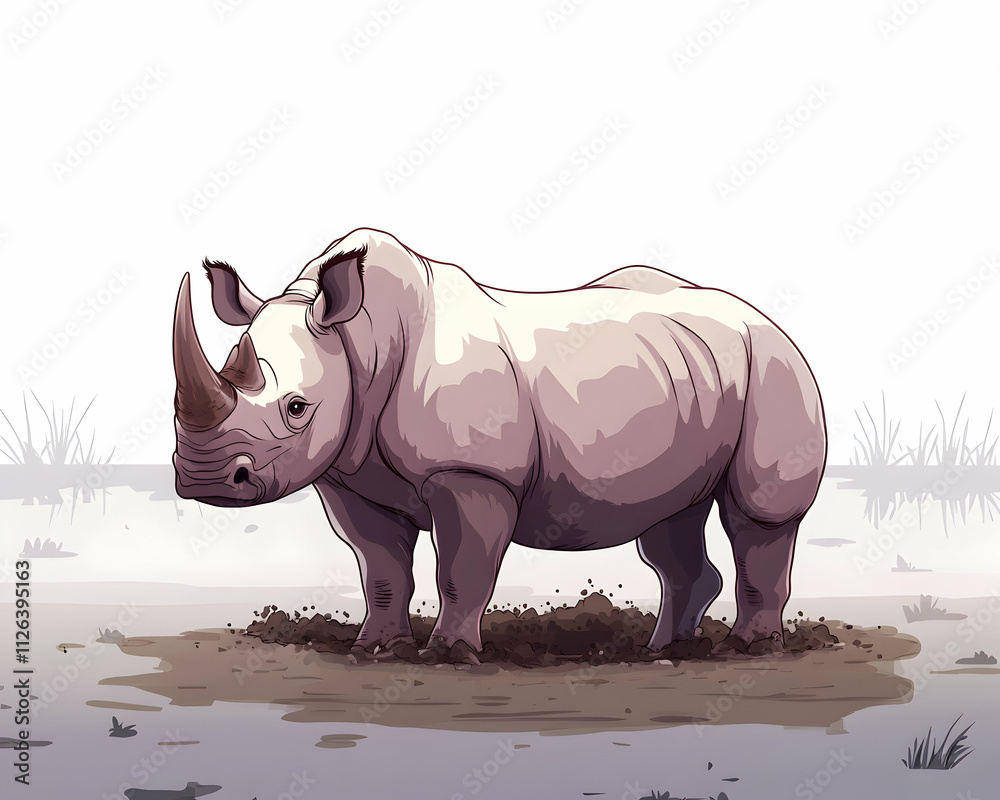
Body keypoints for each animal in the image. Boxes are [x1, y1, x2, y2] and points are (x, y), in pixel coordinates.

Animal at [172, 228, 826, 657]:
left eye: (296, 408)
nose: (205, 480)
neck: (361, 340)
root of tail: (769, 320)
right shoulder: (349, 474)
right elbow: (381, 568)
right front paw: (374, 648)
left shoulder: (472, 472)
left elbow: (461, 567)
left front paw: (449, 655)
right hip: (692, 375)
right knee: (669, 518)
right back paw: (664, 650)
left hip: (773, 365)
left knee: (758, 516)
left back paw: (748, 648)